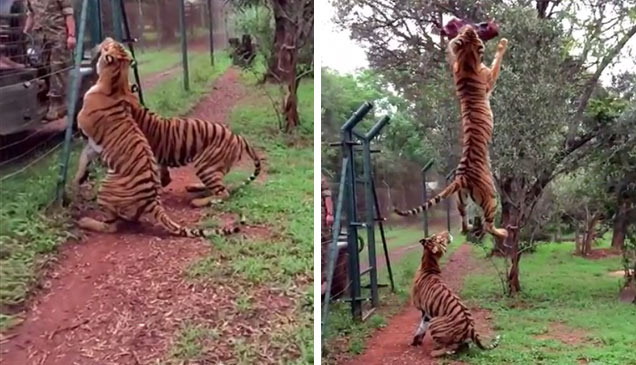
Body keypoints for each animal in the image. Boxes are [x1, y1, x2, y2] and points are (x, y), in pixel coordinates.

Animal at [392, 23, 512, 239]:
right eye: (473, 35)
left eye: (467, 33)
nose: (470, 27)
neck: (467, 61)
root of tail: (462, 176)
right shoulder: (489, 78)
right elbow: (497, 62)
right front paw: (502, 43)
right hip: (491, 196)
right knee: (489, 225)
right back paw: (503, 232)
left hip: (460, 198)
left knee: (463, 220)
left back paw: (468, 228)